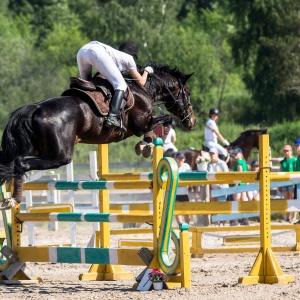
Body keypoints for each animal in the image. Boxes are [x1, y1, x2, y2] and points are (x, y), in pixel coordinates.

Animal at [0, 62, 197, 210]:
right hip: (60, 156)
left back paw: (10, 199)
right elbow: (165, 120)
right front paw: (148, 144)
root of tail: (35, 109)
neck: (143, 88)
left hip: (38, 149)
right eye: (187, 94)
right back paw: (14, 200)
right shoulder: (140, 125)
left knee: (14, 163)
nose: (192, 121)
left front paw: (145, 146)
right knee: (20, 163)